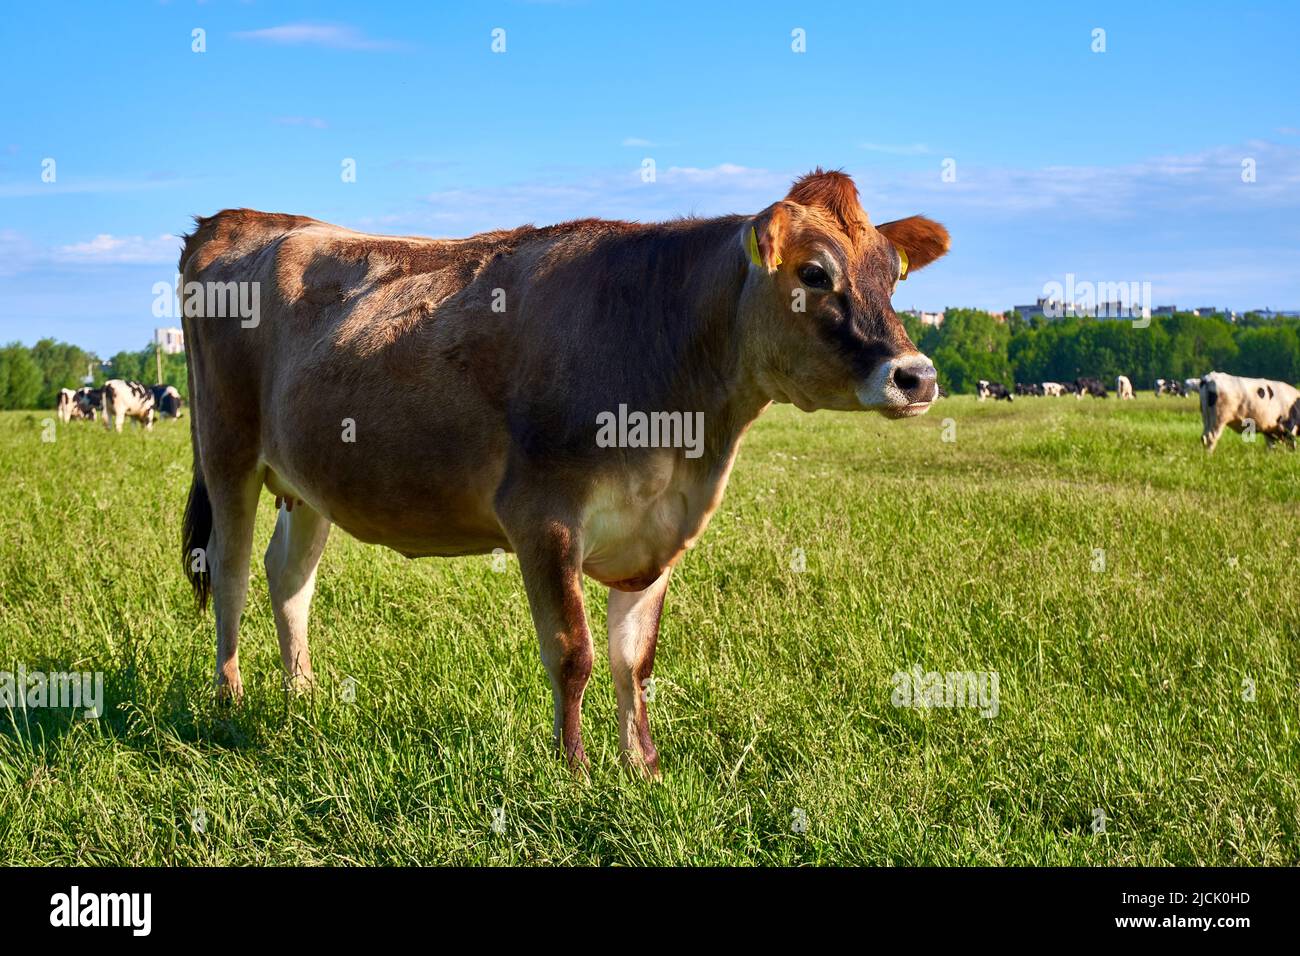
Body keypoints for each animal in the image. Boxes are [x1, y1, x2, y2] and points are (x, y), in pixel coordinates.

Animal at [175, 167, 956, 775]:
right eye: (815, 272)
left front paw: (643, 770)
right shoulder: (542, 517)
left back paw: (302, 698)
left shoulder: (656, 528)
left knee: (288, 579)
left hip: (306, 482)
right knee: (230, 569)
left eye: (893, 274)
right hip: (227, 448)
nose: (916, 376)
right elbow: (572, 653)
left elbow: (633, 661)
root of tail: (236, 219)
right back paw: (229, 702)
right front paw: (575, 771)